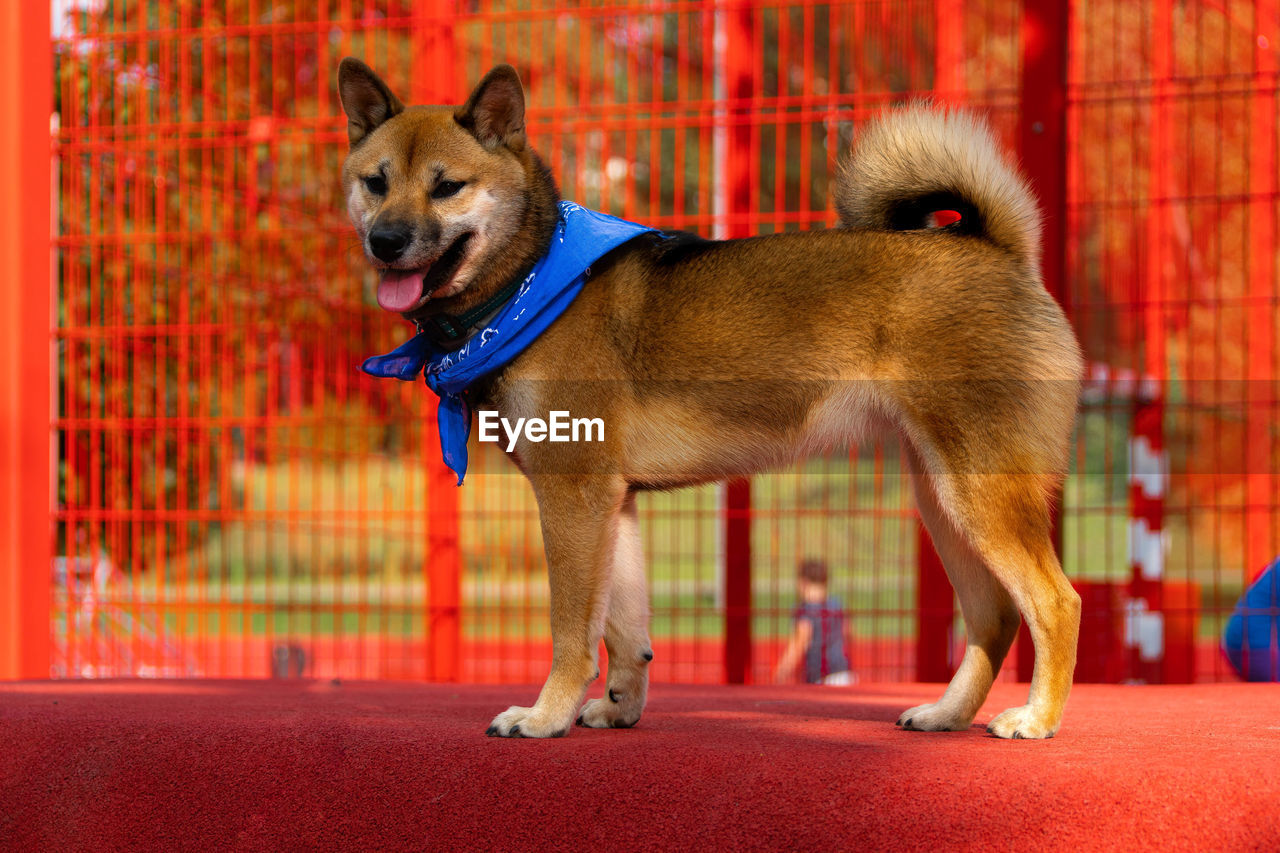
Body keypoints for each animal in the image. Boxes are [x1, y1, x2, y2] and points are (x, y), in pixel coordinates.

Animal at [337, 59, 1080, 737]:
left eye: (448, 187)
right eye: (375, 182)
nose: (385, 240)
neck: (531, 282)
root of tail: (998, 249)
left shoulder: (573, 496)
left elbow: (573, 631)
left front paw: (546, 715)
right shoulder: (613, 503)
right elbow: (625, 629)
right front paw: (620, 707)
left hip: (979, 495)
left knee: (1056, 603)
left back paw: (1037, 719)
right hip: (945, 500)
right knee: (996, 617)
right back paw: (947, 713)